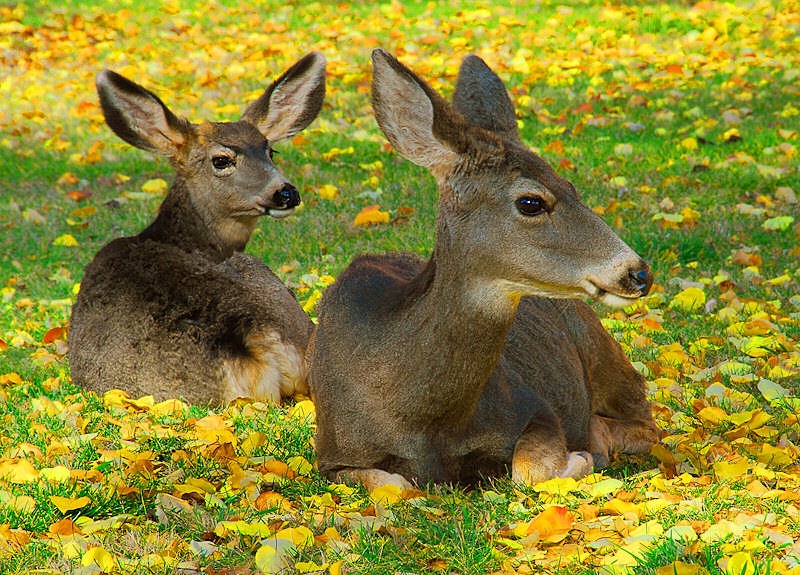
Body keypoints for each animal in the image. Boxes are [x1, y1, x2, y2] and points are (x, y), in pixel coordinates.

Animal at [306, 50, 656, 490]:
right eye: (531, 202)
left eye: (573, 188)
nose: (639, 273)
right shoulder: (332, 455)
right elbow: (395, 485)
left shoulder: (533, 405)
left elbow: (528, 470)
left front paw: (579, 455)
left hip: (602, 353)